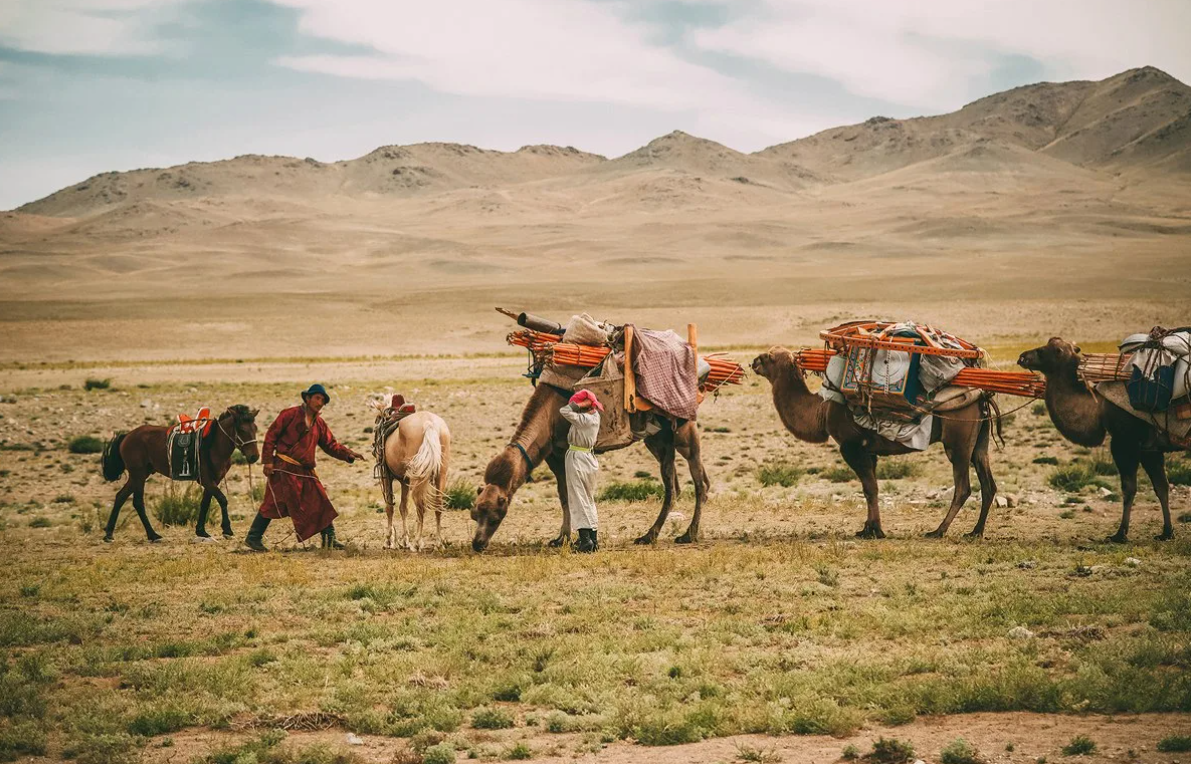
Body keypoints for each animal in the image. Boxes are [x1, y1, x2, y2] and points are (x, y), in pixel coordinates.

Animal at [101, 405, 260, 543]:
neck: (213, 445)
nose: (254, 457)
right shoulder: (207, 480)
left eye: (255, 428)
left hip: (139, 475)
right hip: (138, 475)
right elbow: (222, 499)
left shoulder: (214, 480)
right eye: (242, 429)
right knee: (138, 502)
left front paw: (201, 531)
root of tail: (128, 435)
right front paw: (227, 530)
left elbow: (205, 503)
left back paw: (109, 534)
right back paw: (153, 535)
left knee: (120, 497)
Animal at [371, 405, 450, 548]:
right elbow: (403, 508)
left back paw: (417, 542)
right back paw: (438, 542)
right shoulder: (405, 481)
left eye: (376, 425)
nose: (374, 448)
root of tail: (429, 423)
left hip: (417, 478)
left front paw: (388, 540)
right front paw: (405, 540)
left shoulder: (386, 476)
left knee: (420, 506)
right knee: (438, 505)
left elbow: (390, 507)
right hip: (440, 474)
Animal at [466, 383, 709, 550]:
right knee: (675, 485)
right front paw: (561, 538)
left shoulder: (563, 449)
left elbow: (571, 495)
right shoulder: (553, 453)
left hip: (683, 430)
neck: (548, 416)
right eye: (474, 514)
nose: (477, 544)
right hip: (658, 438)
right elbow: (563, 495)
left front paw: (568, 538)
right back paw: (652, 534)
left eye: (496, 517)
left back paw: (685, 534)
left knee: (698, 481)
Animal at [752, 348, 995, 538]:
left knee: (963, 486)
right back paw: (975, 531)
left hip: (958, 438)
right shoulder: (870, 451)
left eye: (769, 356)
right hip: (979, 439)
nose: (753, 362)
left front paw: (875, 530)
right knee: (988, 483)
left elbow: (870, 487)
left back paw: (938, 530)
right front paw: (867, 528)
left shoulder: (851, 447)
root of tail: (981, 395)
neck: (822, 410)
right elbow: (871, 488)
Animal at [1014, 336, 1181, 538]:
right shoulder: (1150, 447)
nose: (1022, 357)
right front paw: (1167, 532)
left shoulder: (1125, 441)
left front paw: (1120, 534)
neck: (1099, 408)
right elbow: (1162, 487)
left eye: (1046, 350)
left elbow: (1129, 488)